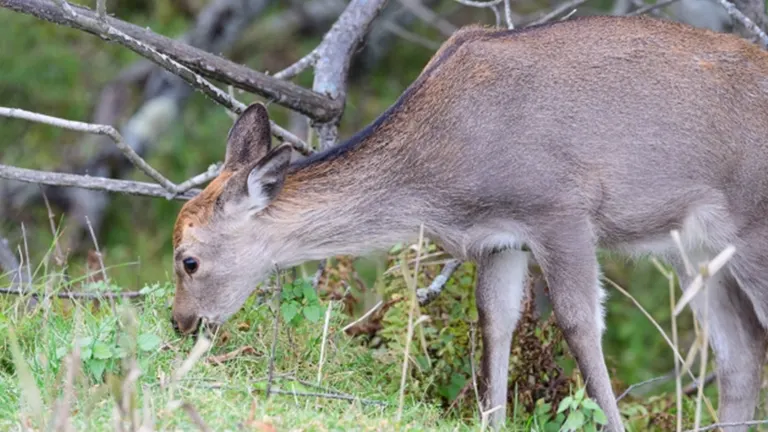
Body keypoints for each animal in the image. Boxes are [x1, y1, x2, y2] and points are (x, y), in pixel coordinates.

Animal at [171, 15, 768, 432]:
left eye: (189, 260)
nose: (180, 323)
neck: (439, 183)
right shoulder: (499, 239)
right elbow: (494, 321)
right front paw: (493, 418)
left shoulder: (560, 209)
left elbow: (578, 323)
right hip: (698, 249)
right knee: (740, 355)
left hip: (753, 228)